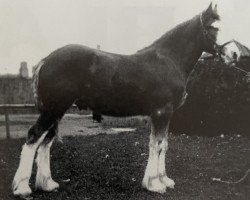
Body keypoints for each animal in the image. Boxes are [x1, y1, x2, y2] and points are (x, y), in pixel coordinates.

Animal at [12, 2, 233, 197]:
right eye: (214, 27)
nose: (233, 54)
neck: (168, 60)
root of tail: (46, 60)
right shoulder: (162, 112)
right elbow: (157, 145)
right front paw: (155, 184)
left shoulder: (163, 115)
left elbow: (163, 144)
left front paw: (164, 180)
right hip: (53, 110)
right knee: (34, 137)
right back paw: (22, 188)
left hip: (57, 111)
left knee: (46, 142)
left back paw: (47, 184)